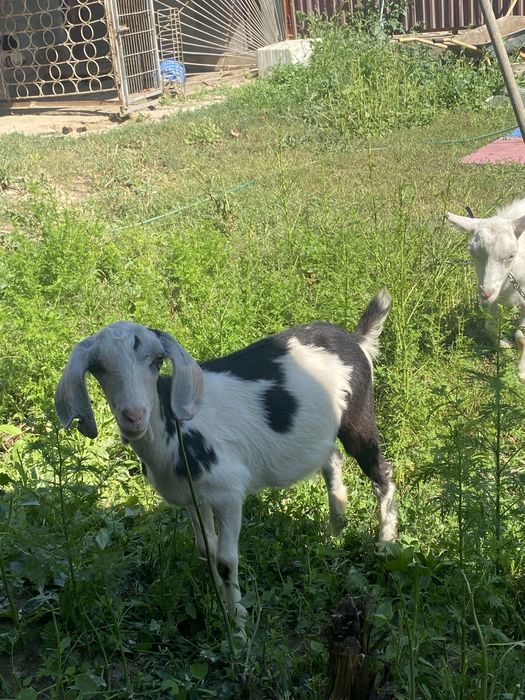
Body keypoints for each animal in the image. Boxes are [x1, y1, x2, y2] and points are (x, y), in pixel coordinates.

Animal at [55, 290, 397, 628]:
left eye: (156, 361)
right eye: (98, 367)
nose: (134, 416)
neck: (174, 431)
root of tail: (356, 340)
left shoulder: (229, 492)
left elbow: (225, 559)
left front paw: (239, 624)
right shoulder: (193, 498)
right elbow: (205, 548)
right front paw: (220, 606)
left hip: (358, 414)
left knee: (382, 472)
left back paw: (385, 544)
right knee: (332, 460)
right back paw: (333, 536)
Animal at [448, 198, 525, 379]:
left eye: (511, 255)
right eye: (472, 252)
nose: (485, 293)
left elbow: (521, 336)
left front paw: (521, 370)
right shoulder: (497, 298)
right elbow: (489, 326)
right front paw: (505, 345)